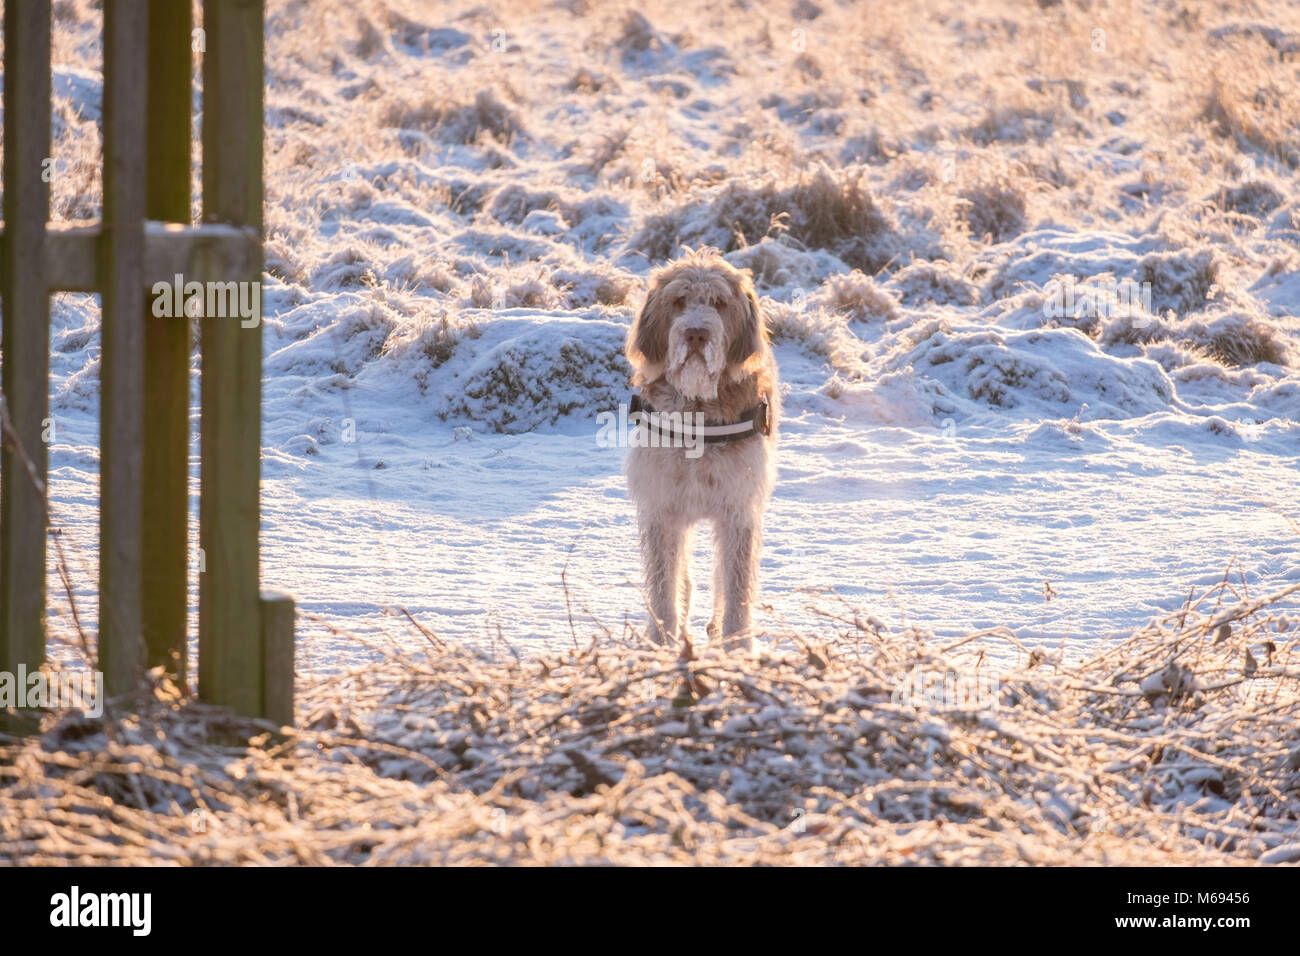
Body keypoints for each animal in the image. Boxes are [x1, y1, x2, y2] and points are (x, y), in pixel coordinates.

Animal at [621, 248, 774, 650]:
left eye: (719, 303)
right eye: (678, 301)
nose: (696, 333)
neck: (697, 411)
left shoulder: (738, 509)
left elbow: (736, 585)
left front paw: (737, 647)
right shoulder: (662, 509)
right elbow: (663, 582)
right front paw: (662, 643)